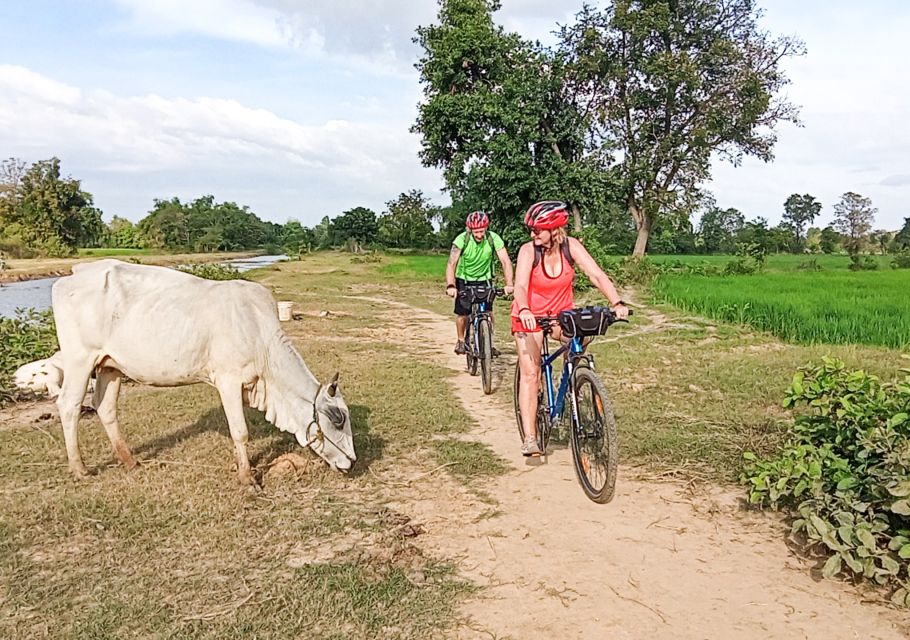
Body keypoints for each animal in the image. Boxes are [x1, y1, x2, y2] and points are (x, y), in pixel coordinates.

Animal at [49, 258, 356, 482]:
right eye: (337, 418)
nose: (351, 462)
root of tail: (75, 273)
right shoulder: (228, 381)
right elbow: (240, 431)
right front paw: (247, 478)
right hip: (79, 359)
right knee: (69, 405)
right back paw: (80, 468)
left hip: (110, 366)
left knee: (105, 406)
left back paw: (130, 461)